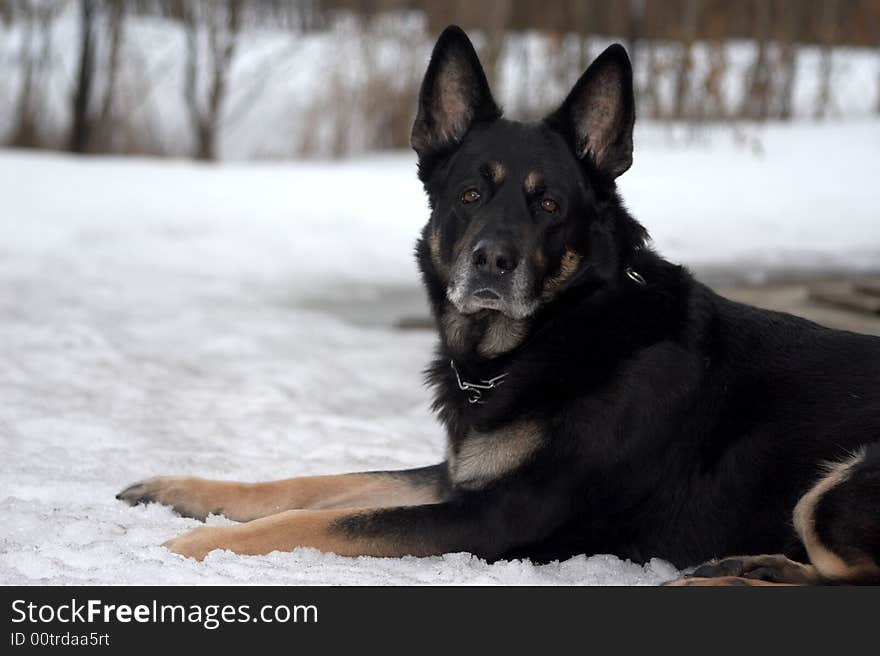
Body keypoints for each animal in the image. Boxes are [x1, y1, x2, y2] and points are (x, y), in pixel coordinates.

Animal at [118, 28, 880, 588]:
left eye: (549, 205)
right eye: (470, 194)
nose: (491, 261)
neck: (559, 331)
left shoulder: (501, 516)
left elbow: (327, 521)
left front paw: (188, 550)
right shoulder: (460, 478)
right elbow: (318, 483)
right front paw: (182, 489)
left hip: (837, 487)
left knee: (850, 582)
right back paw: (745, 566)